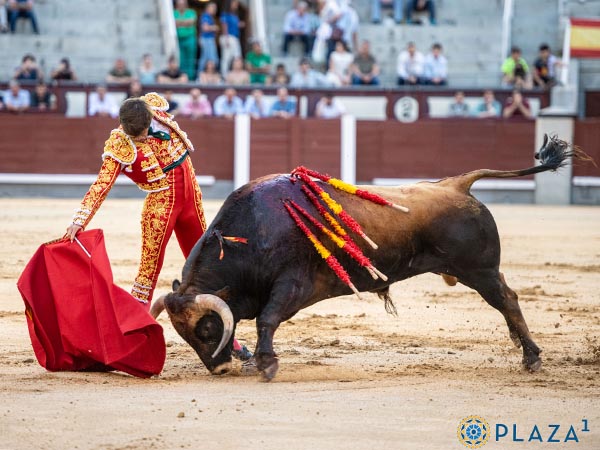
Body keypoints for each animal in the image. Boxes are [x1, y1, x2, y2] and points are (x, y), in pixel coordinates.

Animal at [152, 134, 588, 380]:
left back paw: (531, 358)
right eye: (184, 335)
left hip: (479, 269)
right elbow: (264, 320)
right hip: (476, 270)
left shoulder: (293, 284)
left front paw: (267, 364)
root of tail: (457, 184)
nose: (220, 369)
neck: (249, 236)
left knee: (507, 300)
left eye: (208, 329)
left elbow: (267, 319)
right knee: (506, 300)